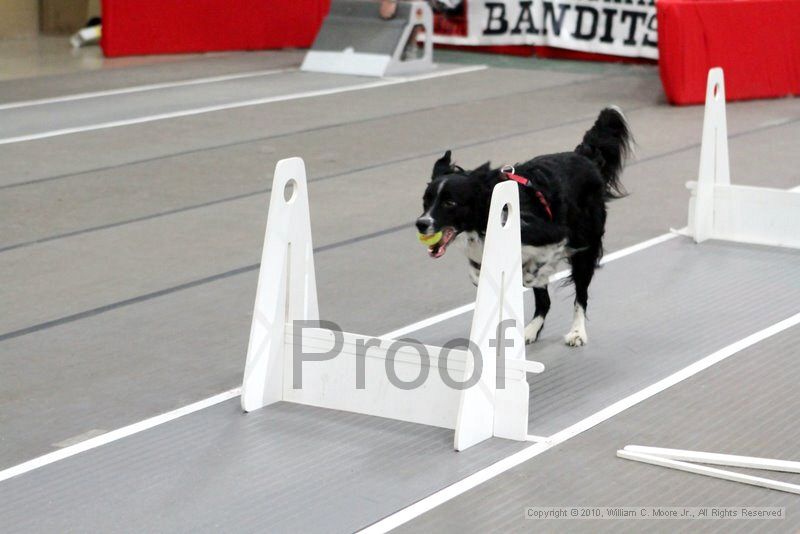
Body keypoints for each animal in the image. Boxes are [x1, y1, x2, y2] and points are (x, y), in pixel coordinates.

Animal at [418, 108, 632, 348]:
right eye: (425, 201)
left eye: (450, 203)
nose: (421, 223)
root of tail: (585, 157)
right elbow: (479, 272)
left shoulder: (554, 235)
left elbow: (537, 266)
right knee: (545, 301)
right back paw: (530, 331)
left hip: (585, 246)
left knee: (580, 295)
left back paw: (577, 333)